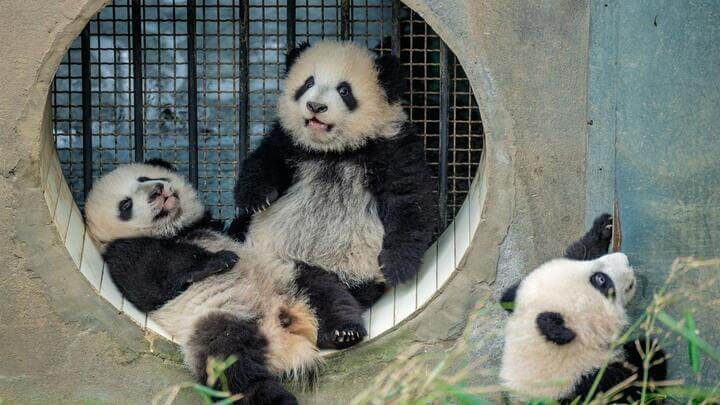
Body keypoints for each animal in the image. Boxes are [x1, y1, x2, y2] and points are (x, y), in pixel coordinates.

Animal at [85, 160, 319, 405]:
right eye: (125, 205)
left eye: (144, 178)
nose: (157, 191)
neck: (176, 231)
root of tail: (281, 333)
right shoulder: (122, 254)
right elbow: (148, 283)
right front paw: (220, 260)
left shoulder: (213, 227)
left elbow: (241, 229)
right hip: (215, 324)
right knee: (232, 369)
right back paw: (275, 397)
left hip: (286, 277)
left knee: (321, 286)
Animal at [231, 40, 437, 350]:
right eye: (308, 82)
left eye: (344, 90)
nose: (316, 106)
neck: (335, 151)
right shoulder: (289, 142)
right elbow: (265, 161)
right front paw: (253, 199)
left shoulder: (391, 146)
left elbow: (409, 199)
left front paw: (398, 265)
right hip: (276, 257)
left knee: (325, 295)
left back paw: (342, 330)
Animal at [499, 214, 667, 403]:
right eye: (600, 280)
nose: (623, 258)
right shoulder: (594, 387)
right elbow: (636, 381)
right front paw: (649, 352)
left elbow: (580, 250)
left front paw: (603, 228)